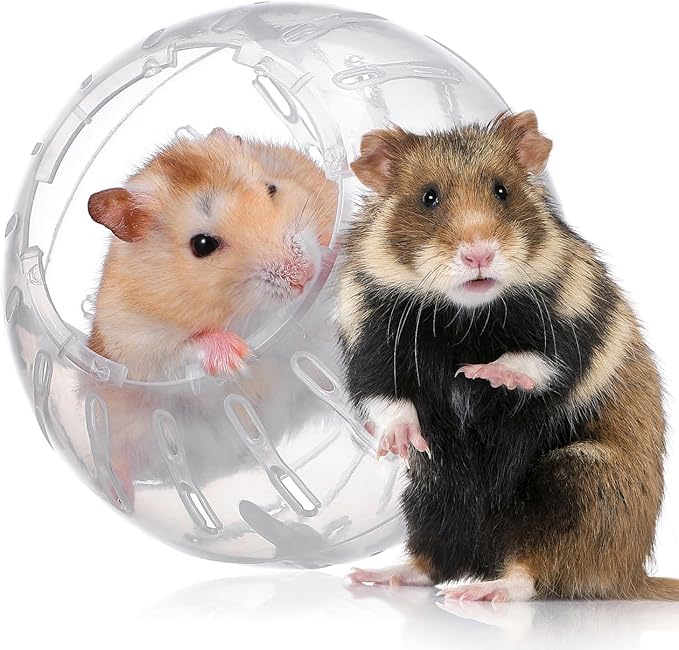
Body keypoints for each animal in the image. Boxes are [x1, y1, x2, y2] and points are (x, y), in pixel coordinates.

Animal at [87, 129, 336, 381]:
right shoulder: (134, 347)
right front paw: (240, 357)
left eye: (271, 189)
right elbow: (181, 351)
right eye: (203, 245)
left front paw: (330, 256)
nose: (306, 275)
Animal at [339, 111, 678, 601]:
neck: (464, 316)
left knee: (540, 570)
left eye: (503, 190)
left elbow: (537, 361)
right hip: (428, 497)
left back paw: (483, 591)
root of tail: (632, 576)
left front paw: (481, 373)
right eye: (428, 198)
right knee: (433, 561)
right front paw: (401, 442)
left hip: (581, 485)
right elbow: (386, 398)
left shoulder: (575, 321)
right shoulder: (369, 340)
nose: (479, 253)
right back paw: (377, 576)